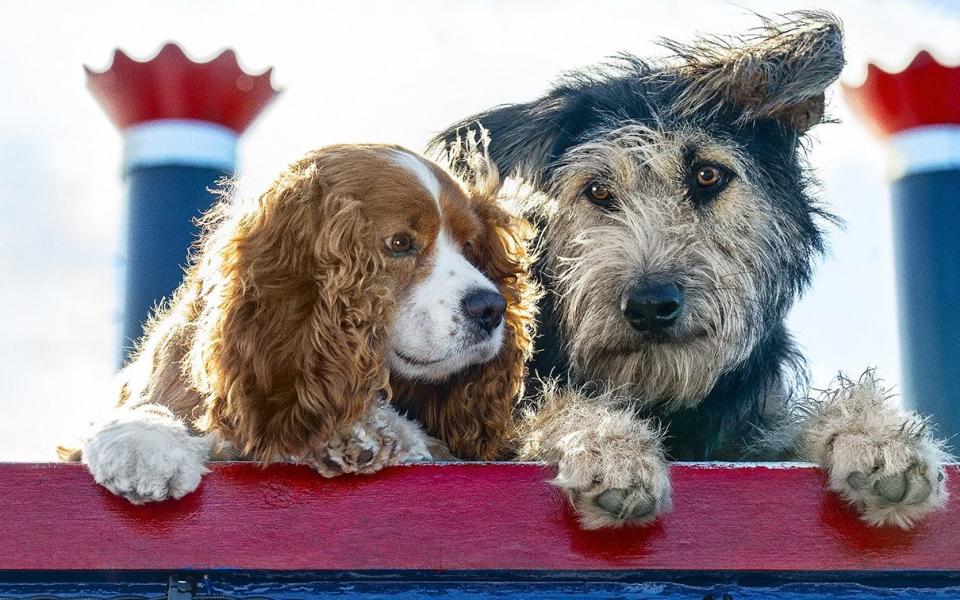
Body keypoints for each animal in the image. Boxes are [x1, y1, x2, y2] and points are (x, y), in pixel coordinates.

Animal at [58, 142, 540, 502]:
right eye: (400, 243)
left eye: (471, 246)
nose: (491, 308)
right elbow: (142, 407)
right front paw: (144, 441)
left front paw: (368, 432)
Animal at [436, 12, 952, 528]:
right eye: (598, 190)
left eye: (707, 175)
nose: (649, 305)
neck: (663, 395)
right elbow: (547, 411)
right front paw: (607, 445)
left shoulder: (743, 435)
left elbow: (787, 425)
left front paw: (875, 435)